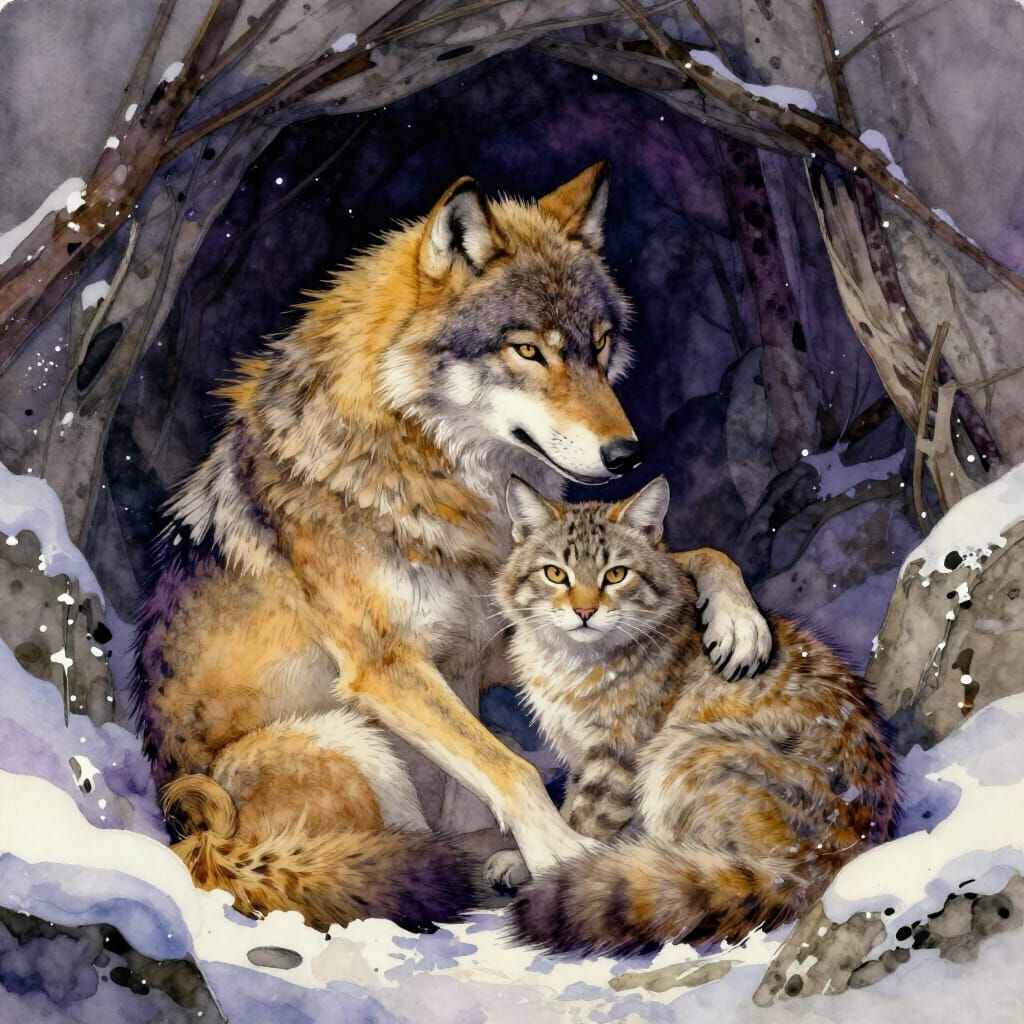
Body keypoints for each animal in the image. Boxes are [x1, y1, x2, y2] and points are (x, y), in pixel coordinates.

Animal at [134, 163, 772, 931]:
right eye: (527, 350)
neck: (429, 476)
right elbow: (511, 768)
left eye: (599, 344)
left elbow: (700, 555)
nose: (628, 454)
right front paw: (562, 854)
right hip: (344, 739)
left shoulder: (493, 642)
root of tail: (197, 846)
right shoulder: (388, 667)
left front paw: (739, 619)